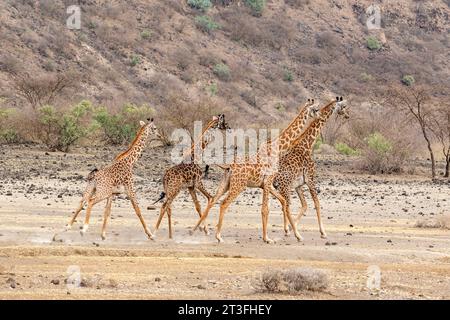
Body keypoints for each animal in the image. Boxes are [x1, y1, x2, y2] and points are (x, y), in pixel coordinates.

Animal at [193, 99, 320, 244]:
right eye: (316, 109)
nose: (318, 117)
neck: (277, 148)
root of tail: (229, 166)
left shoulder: (266, 184)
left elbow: (281, 202)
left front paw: (297, 235)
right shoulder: (268, 181)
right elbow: (265, 209)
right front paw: (267, 238)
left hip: (226, 184)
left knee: (213, 200)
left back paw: (196, 229)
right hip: (239, 185)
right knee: (223, 203)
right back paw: (218, 236)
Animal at [272, 97, 350, 240]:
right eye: (343, 106)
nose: (347, 115)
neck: (307, 145)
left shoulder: (298, 185)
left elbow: (305, 205)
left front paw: (290, 228)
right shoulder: (311, 179)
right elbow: (317, 204)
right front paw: (323, 232)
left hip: (280, 188)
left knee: (283, 205)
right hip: (284, 187)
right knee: (286, 205)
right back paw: (297, 235)